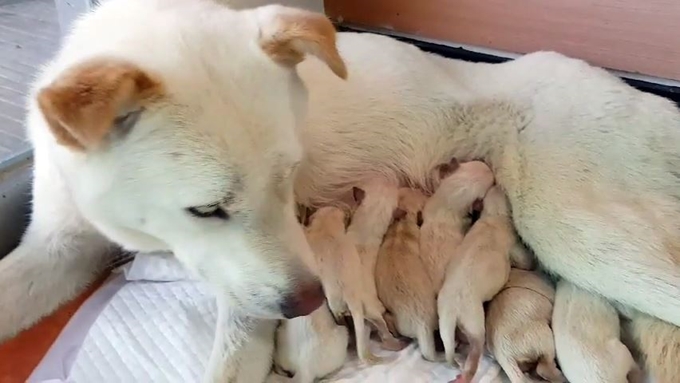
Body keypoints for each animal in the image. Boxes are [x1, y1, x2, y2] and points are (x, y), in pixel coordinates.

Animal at [302, 207, 388, 366]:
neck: (327, 225)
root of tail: (353, 299)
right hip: (370, 310)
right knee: (381, 323)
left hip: (334, 304)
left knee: (340, 318)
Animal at [438, 184, 512, 382]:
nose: (497, 184)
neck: (493, 215)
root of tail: (453, 309)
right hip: (475, 322)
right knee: (475, 352)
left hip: (444, 320)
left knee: (450, 345)